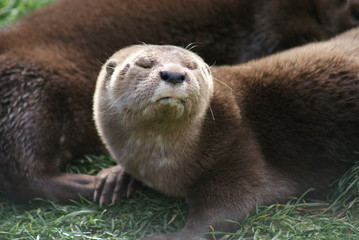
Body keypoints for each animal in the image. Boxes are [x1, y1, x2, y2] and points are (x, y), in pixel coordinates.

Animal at [93, 28, 359, 240]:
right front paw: (114, 177)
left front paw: (170, 236)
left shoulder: (238, 147)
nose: (174, 74)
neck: (157, 163)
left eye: (192, 66)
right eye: (144, 64)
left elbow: (225, 210)